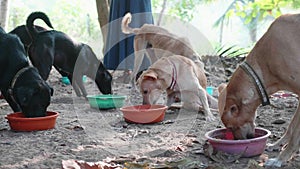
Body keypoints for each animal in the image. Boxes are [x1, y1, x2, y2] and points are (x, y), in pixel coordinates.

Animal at [217, 13, 300, 167]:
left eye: (230, 127)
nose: (241, 140)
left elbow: (295, 134)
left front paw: (280, 159)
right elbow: (291, 127)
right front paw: (278, 144)